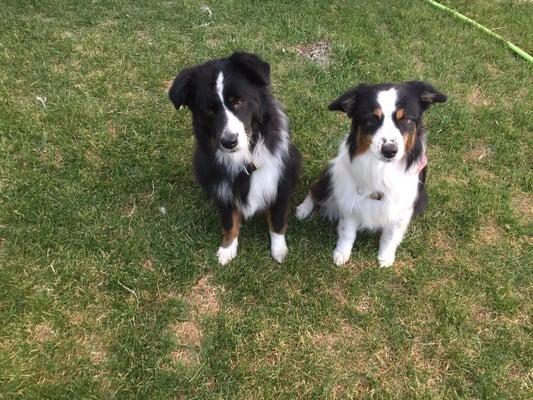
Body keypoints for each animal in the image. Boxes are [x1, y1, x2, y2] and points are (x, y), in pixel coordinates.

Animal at [168, 52, 300, 266]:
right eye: (210, 110)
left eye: (238, 101)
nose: (229, 142)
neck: (246, 159)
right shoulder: (223, 189)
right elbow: (229, 222)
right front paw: (228, 249)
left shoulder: (280, 183)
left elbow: (277, 220)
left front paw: (279, 250)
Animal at [296, 81, 444, 268]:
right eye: (371, 119)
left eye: (406, 119)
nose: (389, 150)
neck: (382, 169)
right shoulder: (350, 200)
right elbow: (347, 232)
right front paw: (341, 254)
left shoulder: (401, 209)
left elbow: (390, 236)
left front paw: (385, 258)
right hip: (331, 175)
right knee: (314, 189)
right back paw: (302, 209)